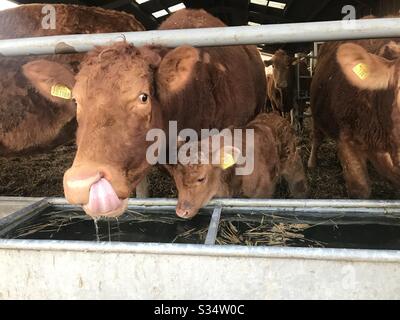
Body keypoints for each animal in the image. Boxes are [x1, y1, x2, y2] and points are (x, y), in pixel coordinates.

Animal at [164, 112, 308, 218]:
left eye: (201, 178)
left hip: (293, 161)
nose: (181, 212)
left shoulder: (262, 194)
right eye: (175, 178)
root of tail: (274, 116)